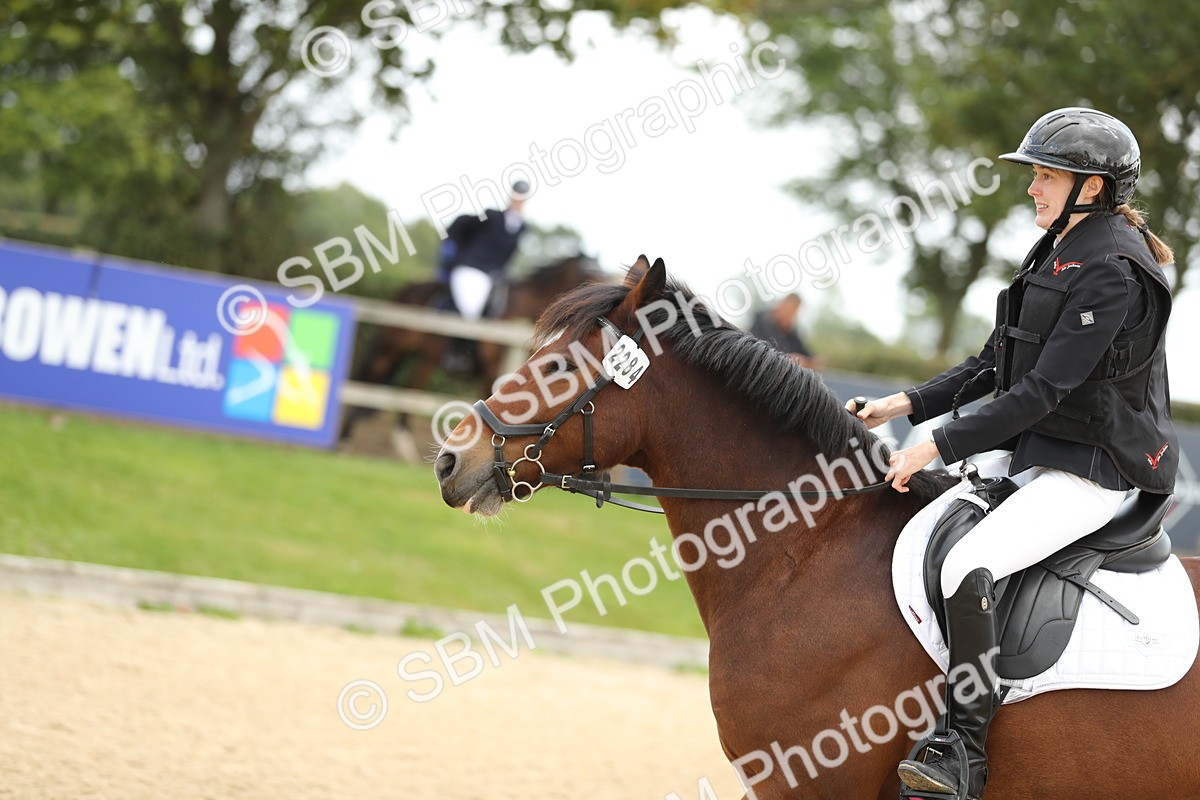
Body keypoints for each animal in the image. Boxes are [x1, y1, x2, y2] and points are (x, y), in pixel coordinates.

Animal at [339, 254, 604, 443]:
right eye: (590, 274)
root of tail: (412, 288)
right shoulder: (495, 370)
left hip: (426, 359)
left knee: (410, 387)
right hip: (390, 349)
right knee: (371, 379)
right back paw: (344, 435)